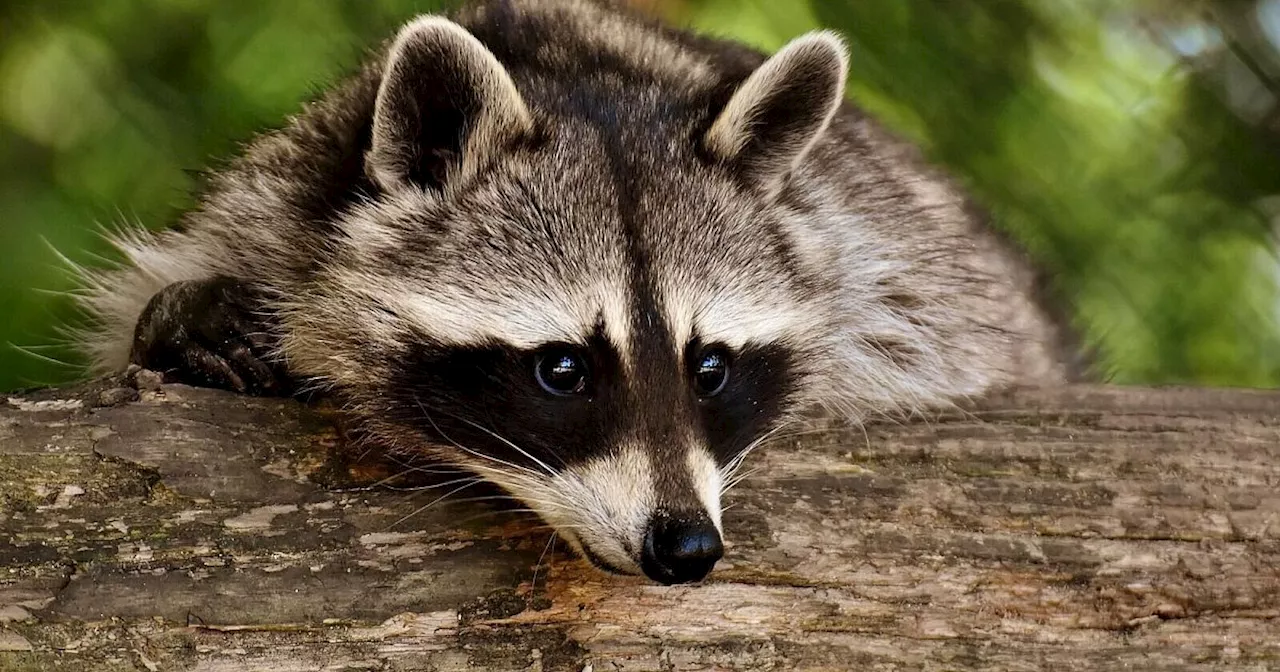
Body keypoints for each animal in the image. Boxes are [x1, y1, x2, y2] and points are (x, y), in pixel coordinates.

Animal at [72, 0, 1070, 581]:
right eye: (562, 369)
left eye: (710, 367)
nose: (686, 549)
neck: (579, 73)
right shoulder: (269, 201)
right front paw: (183, 321)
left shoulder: (890, 264)